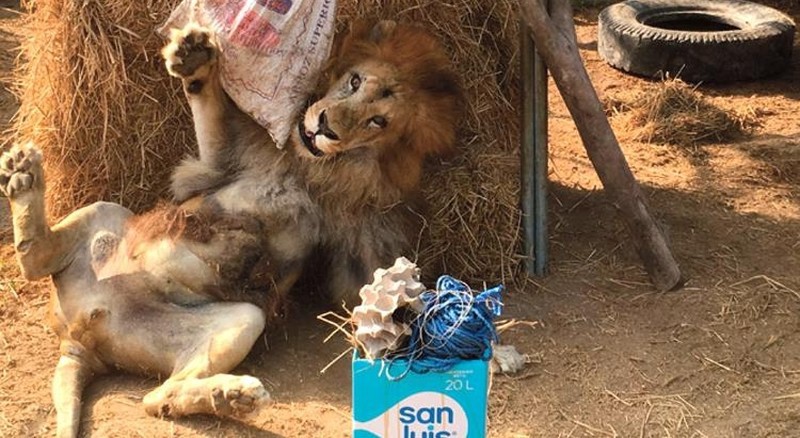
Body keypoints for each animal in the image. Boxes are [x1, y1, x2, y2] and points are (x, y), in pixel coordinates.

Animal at [0, 18, 460, 436]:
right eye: (354, 80)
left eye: (378, 121)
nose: (326, 127)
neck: (310, 171)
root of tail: (79, 337)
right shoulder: (222, 164)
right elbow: (211, 114)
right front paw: (194, 58)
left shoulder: (364, 229)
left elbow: (364, 285)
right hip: (106, 212)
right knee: (37, 260)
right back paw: (23, 177)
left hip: (238, 319)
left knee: (157, 396)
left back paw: (232, 396)